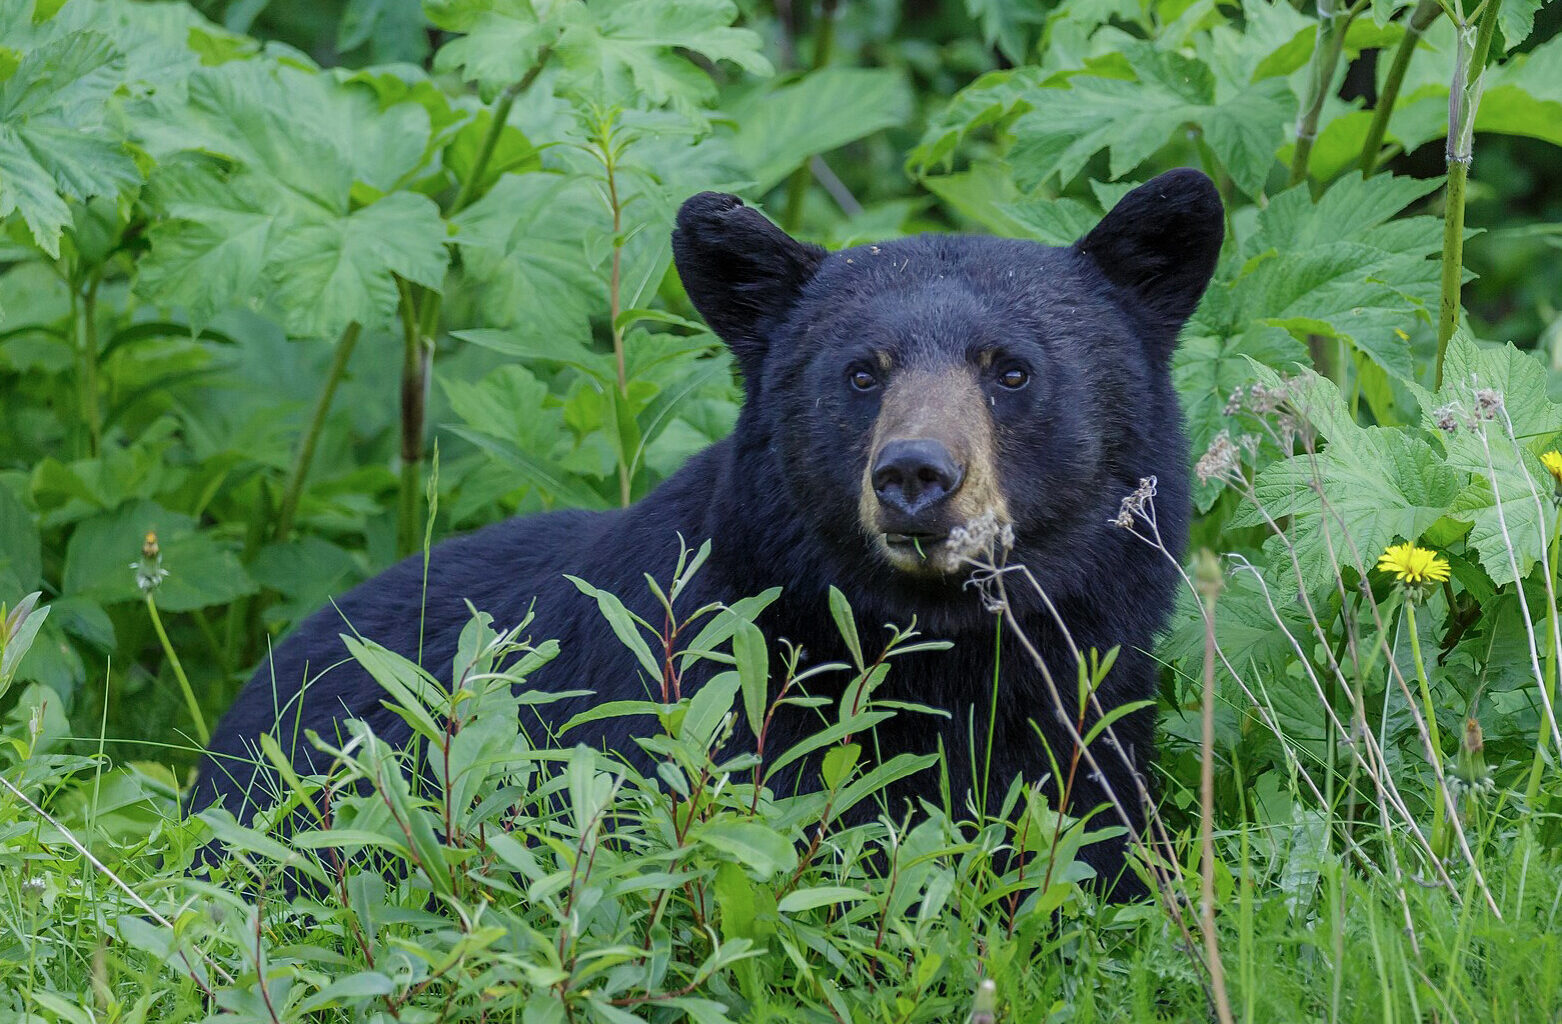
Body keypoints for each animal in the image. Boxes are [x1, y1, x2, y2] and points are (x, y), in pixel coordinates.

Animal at [192, 168, 1224, 900]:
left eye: (1009, 369)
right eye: (861, 372)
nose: (915, 475)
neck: (942, 652)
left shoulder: (1092, 713)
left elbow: (1100, 848)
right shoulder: (703, 706)